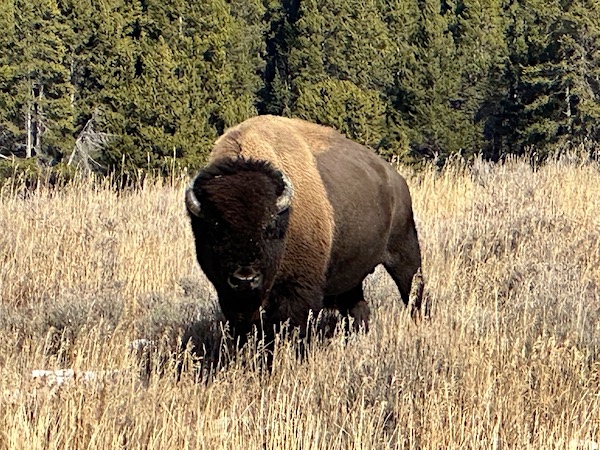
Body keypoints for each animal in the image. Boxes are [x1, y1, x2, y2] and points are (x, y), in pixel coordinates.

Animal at [185, 116, 424, 342]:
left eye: (269, 227)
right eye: (215, 228)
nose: (245, 279)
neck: (286, 215)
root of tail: (396, 180)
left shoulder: (298, 291)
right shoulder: (229, 296)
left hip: (405, 254)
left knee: (414, 292)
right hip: (352, 278)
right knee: (357, 308)